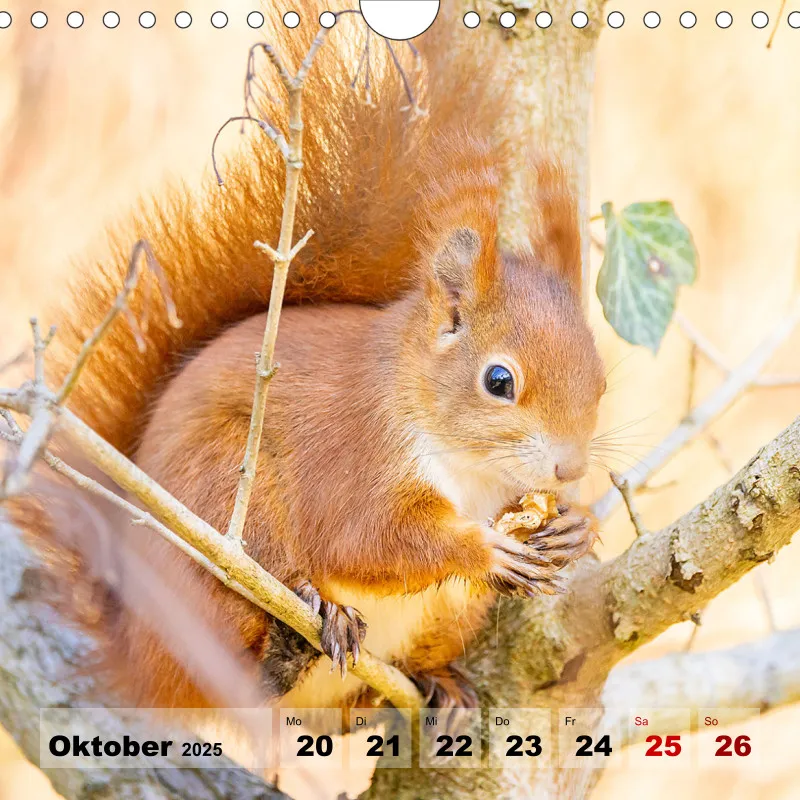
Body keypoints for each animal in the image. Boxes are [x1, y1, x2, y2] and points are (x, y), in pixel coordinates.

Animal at [8, 1, 606, 712]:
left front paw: (573, 527)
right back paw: (295, 642)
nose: (570, 468)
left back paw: (435, 683)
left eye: (601, 380)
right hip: (224, 503)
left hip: (445, 617)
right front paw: (483, 550)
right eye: (498, 380)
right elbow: (367, 536)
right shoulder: (357, 456)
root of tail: (133, 653)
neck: (472, 469)